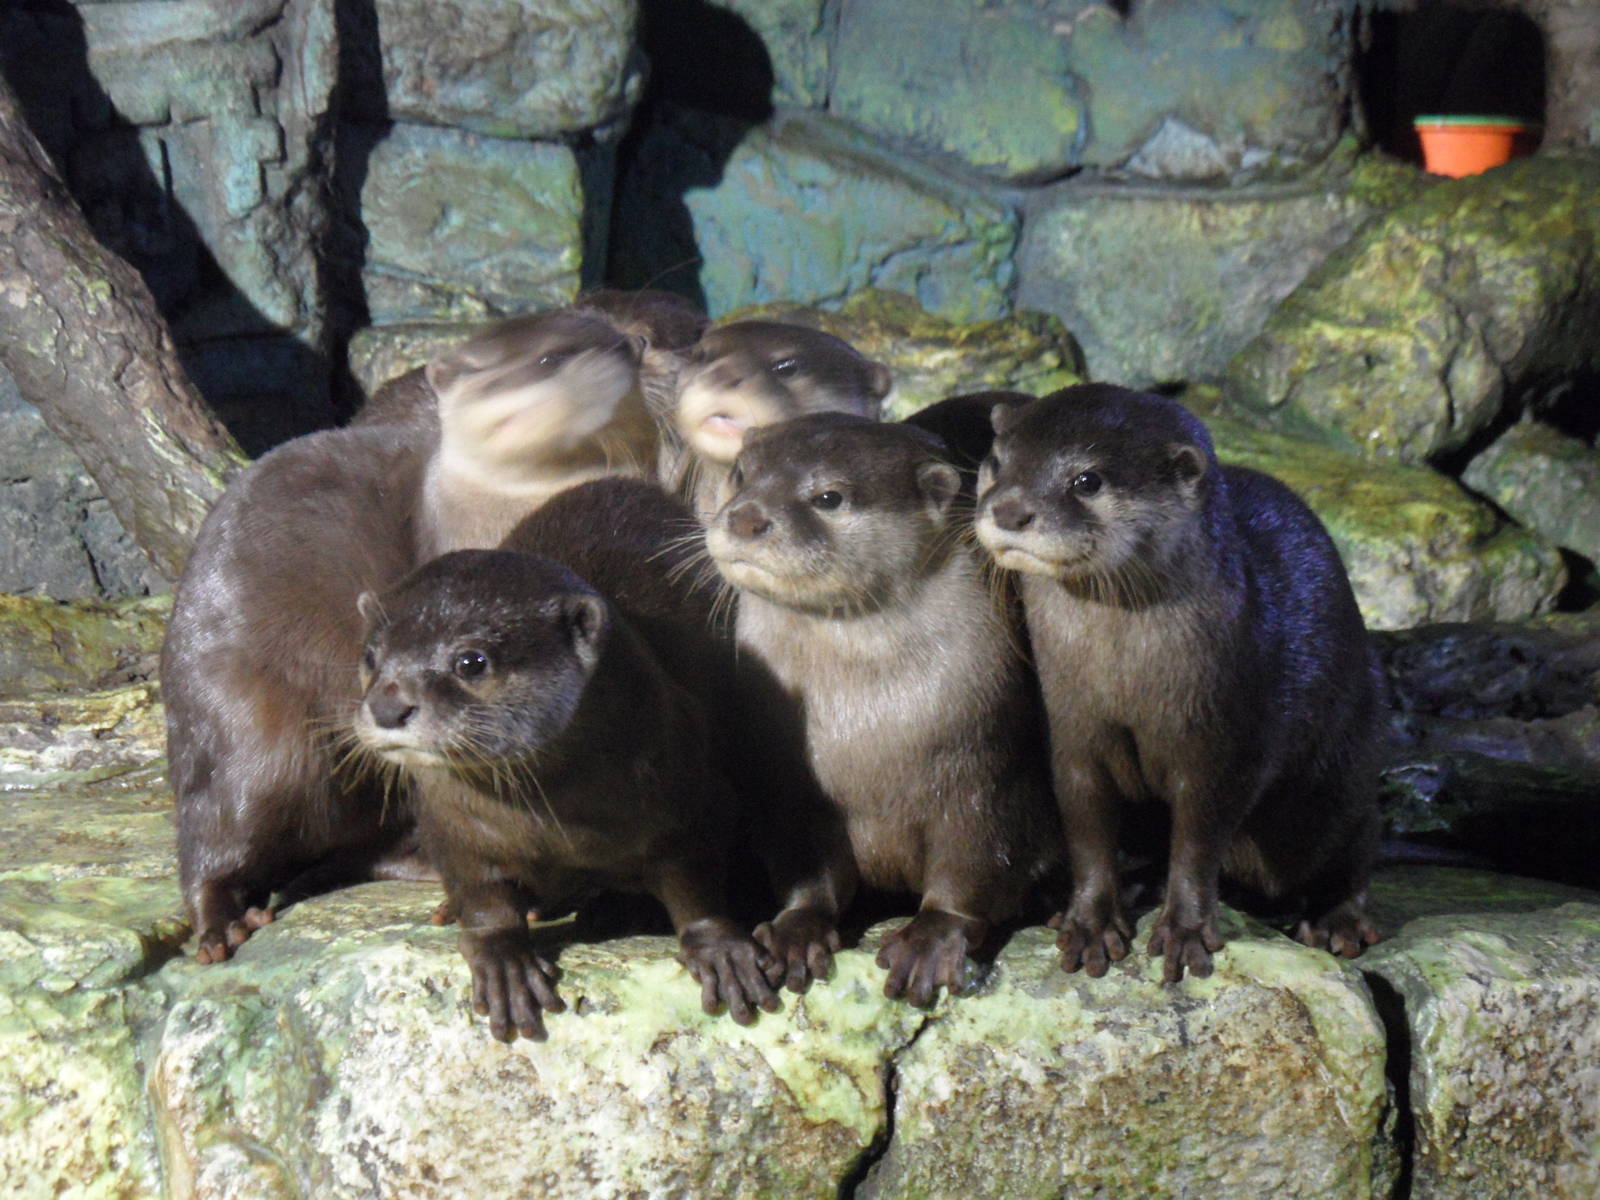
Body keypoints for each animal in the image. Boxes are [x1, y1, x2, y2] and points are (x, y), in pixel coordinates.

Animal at [352, 479, 778, 1040]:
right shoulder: (451, 825)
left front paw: (720, 949)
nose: (387, 706)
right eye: (369, 657)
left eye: (471, 661)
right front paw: (503, 961)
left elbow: (696, 885)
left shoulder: (697, 797)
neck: (556, 827)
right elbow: (482, 894)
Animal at [705, 413, 1059, 1005]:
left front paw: (931, 939)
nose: (747, 516)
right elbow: (808, 869)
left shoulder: (986, 768)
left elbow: (973, 865)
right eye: (740, 474)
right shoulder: (792, 786)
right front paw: (796, 931)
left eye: (828, 497)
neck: (868, 722)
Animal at [972, 384, 1383, 982]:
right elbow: (1087, 832)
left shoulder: (1223, 743)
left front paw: (1185, 929)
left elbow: (1198, 841)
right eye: (998, 462)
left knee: (1357, 838)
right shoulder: (1071, 734)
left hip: (1342, 771)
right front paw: (1089, 921)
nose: (1009, 508)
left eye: (1087, 481)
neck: (1126, 680)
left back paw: (1339, 920)